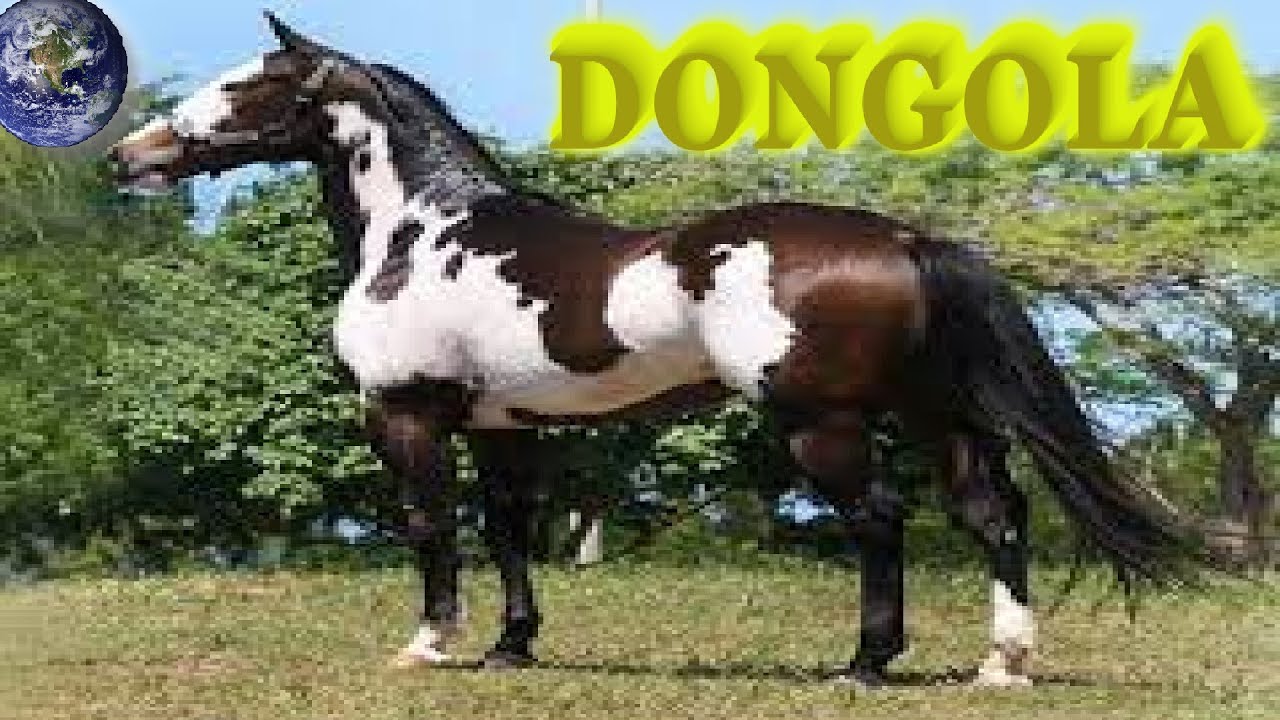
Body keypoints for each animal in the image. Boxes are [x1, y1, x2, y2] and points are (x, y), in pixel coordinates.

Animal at [109, 12, 1205, 688]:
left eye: (246, 83)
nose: (132, 155)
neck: (421, 234)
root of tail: (901, 237)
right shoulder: (504, 425)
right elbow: (508, 532)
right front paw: (511, 648)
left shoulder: (408, 415)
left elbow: (429, 526)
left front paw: (427, 646)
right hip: (939, 416)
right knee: (991, 514)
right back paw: (998, 666)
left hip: (822, 424)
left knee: (881, 519)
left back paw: (863, 664)